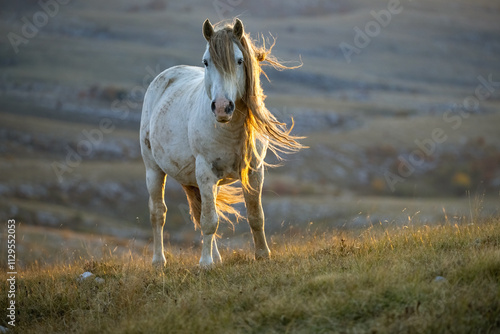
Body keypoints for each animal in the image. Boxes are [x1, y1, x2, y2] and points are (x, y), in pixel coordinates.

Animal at [140, 18, 300, 268]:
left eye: (240, 60)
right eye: (206, 62)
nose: (223, 107)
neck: (230, 130)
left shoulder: (255, 171)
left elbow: (255, 215)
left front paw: (262, 254)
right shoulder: (206, 171)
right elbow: (209, 220)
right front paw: (205, 263)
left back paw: (217, 258)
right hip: (154, 170)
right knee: (158, 213)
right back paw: (159, 261)